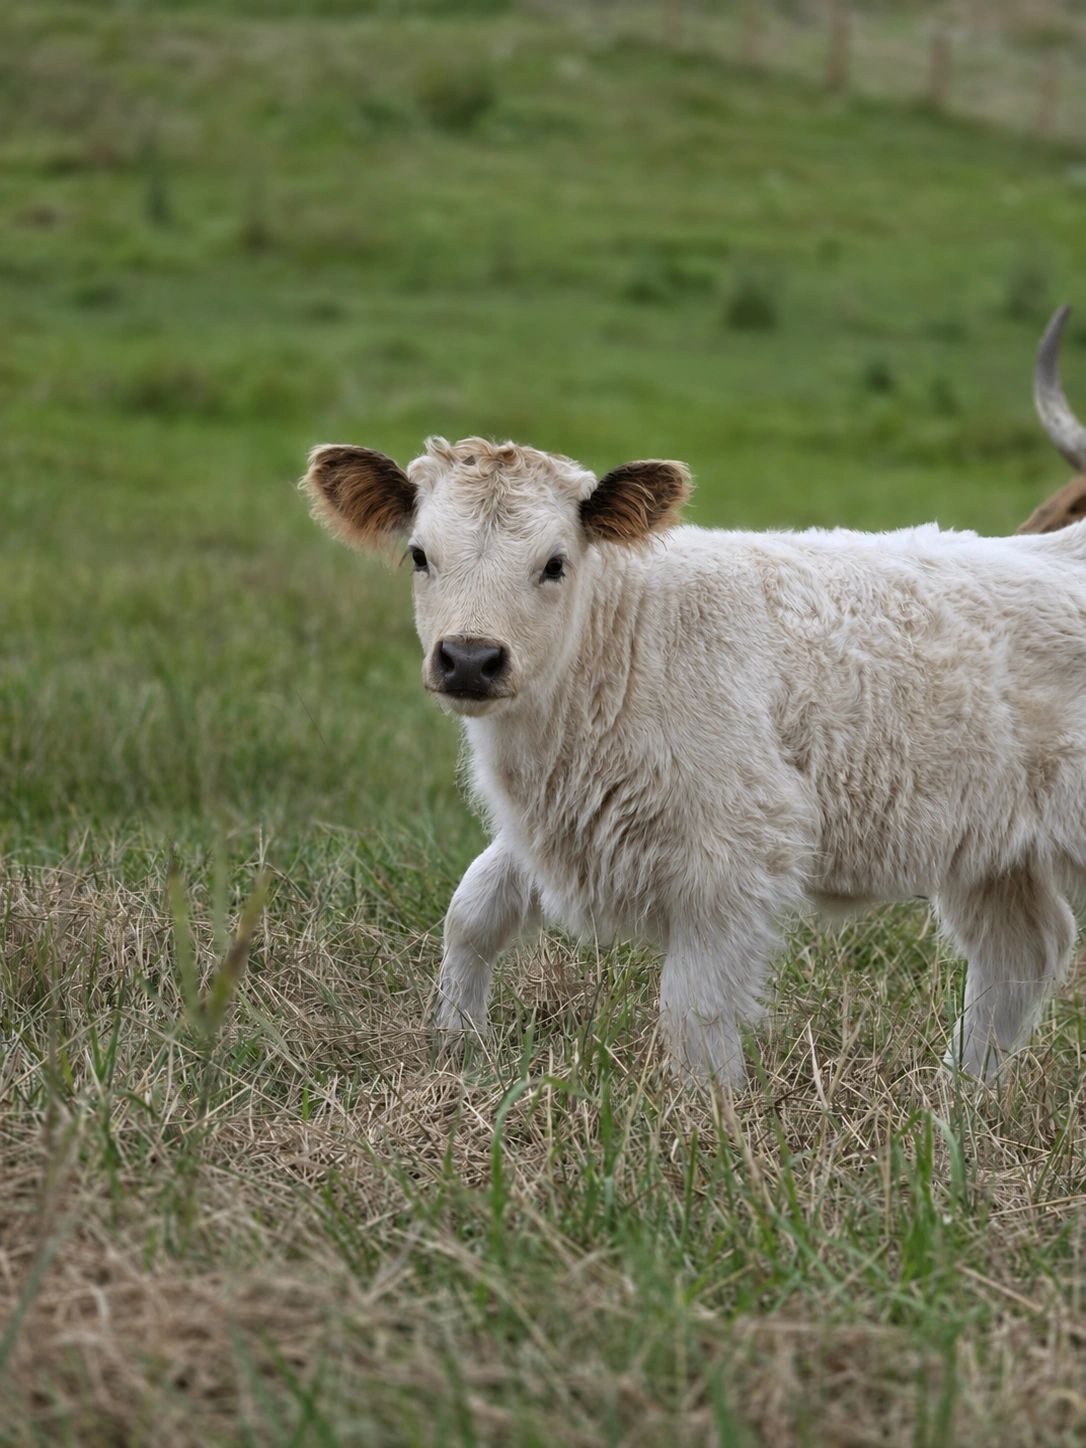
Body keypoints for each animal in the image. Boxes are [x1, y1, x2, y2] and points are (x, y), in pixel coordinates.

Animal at [302, 312, 1086, 1089]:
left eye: (555, 563)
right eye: (419, 555)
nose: (470, 658)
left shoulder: (737, 852)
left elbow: (693, 1007)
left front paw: (709, 1115)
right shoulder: (559, 818)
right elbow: (472, 910)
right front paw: (455, 1050)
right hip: (993, 849)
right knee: (1022, 952)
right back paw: (958, 1100)